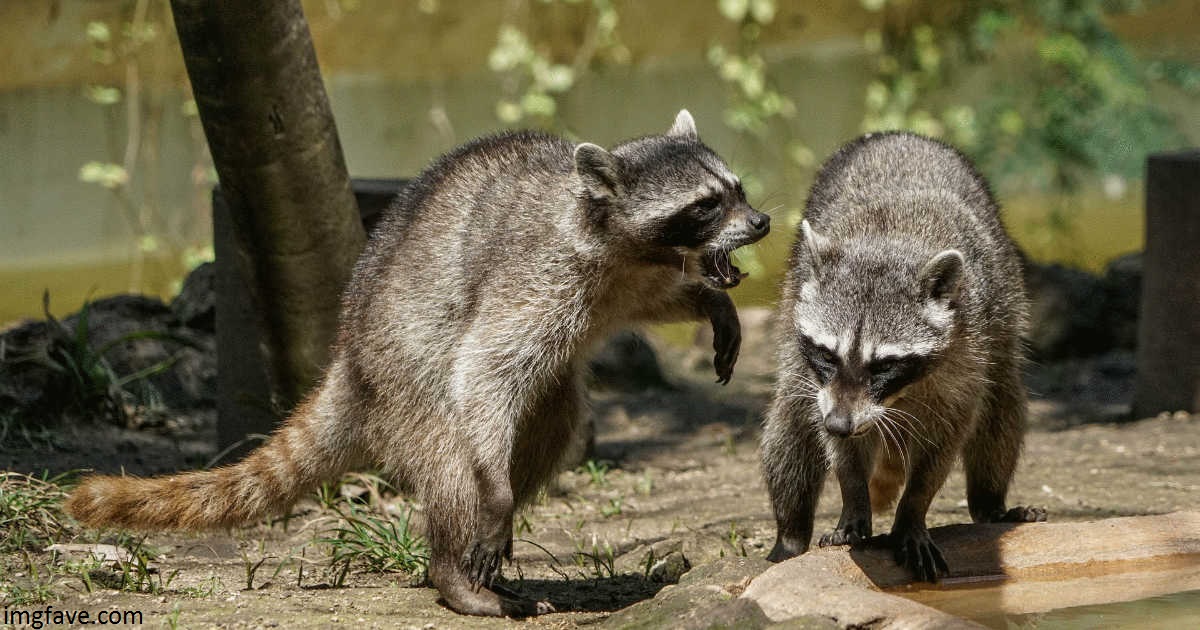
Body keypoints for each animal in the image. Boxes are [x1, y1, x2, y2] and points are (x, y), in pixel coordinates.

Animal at [65, 110, 768, 614]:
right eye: (706, 204)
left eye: (736, 189)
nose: (761, 221)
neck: (616, 234)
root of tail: (349, 361)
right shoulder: (537, 275)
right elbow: (485, 369)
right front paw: (490, 505)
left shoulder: (625, 276)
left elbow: (659, 298)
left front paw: (708, 299)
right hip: (406, 378)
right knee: (459, 453)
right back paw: (453, 565)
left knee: (550, 428)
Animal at [763, 130, 1046, 583]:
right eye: (828, 354)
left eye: (884, 365)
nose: (840, 424)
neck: (889, 241)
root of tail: (900, 134)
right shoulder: (818, 374)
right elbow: (833, 443)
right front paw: (853, 497)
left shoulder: (968, 350)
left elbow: (945, 442)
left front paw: (913, 510)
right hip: (794, 301)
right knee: (790, 421)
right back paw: (790, 534)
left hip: (1004, 308)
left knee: (1001, 404)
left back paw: (991, 504)